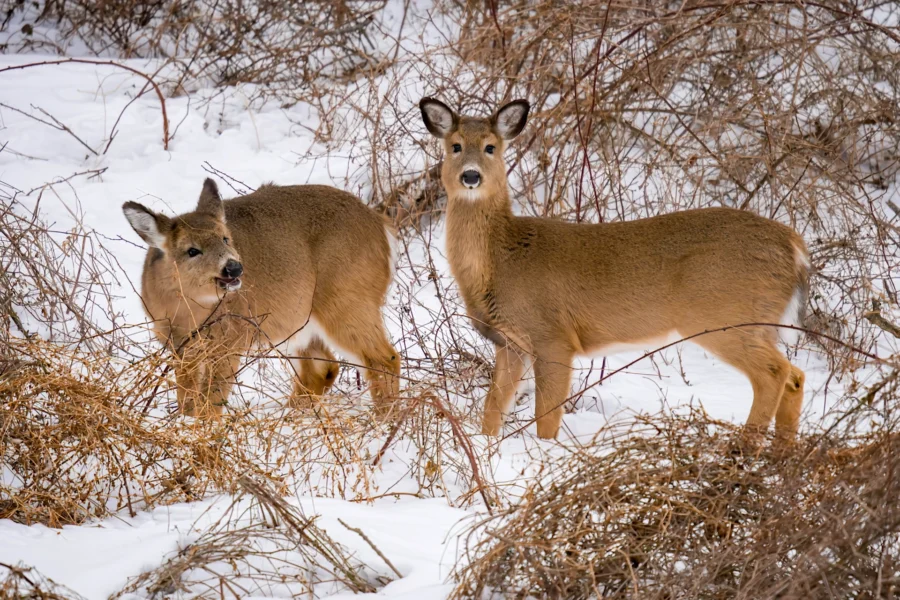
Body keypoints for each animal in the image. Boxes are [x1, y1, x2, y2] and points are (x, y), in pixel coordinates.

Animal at [122, 178, 400, 417]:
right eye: (192, 250)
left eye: (226, 238)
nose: (234, 267)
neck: (187, 313)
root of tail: (381, 225)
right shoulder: (178, 346)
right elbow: (187, 398)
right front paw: (186, 423)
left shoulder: (230, 341)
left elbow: (212, 399)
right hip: (293, 321)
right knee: (324, 367)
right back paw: (290, 417)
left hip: (346, 298)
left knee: (385, 359)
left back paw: (382, 423)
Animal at [419, 97, 809, 440]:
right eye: (454, 146)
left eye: (490, 147)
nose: (471, 176)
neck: (502, 258)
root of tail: (794, 247)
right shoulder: (511, 343)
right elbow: (493, 408)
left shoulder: (553, 336)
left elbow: (546, 417)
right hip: (756, 322)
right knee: (795, 375)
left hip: (724, 315)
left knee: (774, 373)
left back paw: (744, 451)